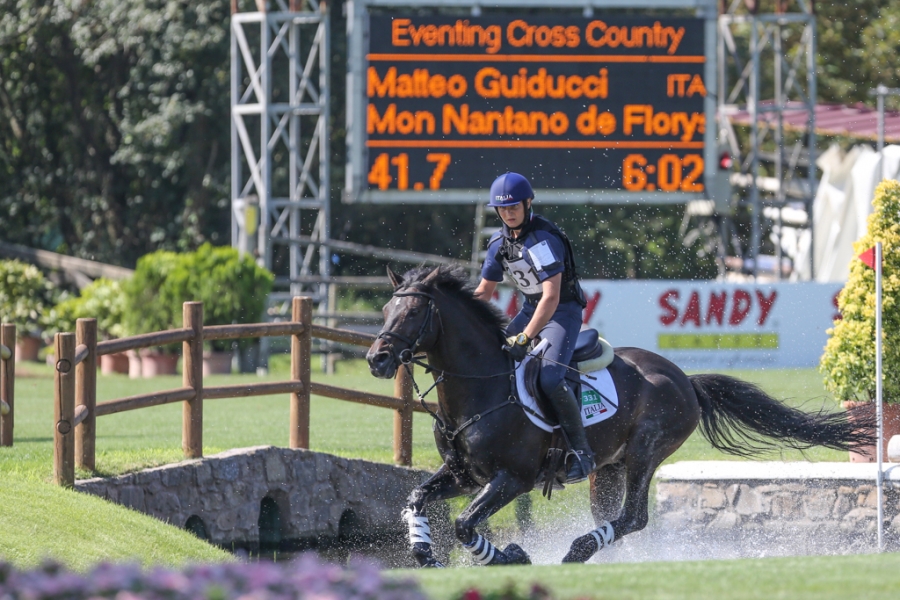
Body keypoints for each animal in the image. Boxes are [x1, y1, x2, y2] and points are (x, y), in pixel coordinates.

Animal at [366, 268, 872, 568]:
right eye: (386, 308)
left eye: (413, 311)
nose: (376, 359)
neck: (479, 387)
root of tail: (685, 378)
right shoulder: (464, 475)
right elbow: (416, 498)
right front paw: (424, 553)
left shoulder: (513, 478)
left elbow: (465, 524)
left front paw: (512, 557)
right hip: (605, 468)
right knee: (615, 517)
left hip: (645, 453)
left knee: (634, 517)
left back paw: (577, 550)